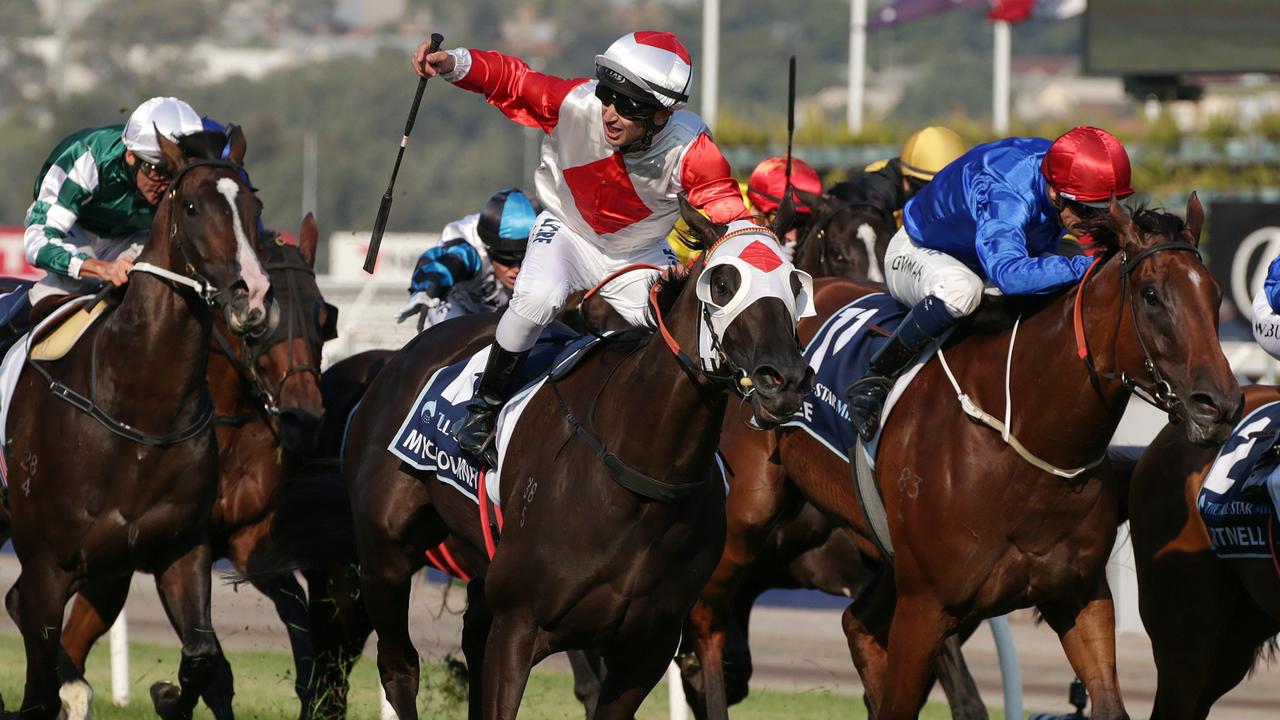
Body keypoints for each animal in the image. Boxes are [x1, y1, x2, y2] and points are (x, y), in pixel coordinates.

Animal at [0, 130, 270, 717]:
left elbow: (202, 655)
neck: (138, 409)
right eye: (191, 207)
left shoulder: (178, 550)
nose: (254, 297)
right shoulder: (47, 568)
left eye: (254, 208)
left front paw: (168, 694)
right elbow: (35, 690)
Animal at [55, 212, 337, 717]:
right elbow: (213, 670)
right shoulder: (175, 546)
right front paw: (169, 696)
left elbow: (301, 638)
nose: (303, 419)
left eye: (323, 319)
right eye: (261, 321)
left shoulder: (247, 543)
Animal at [340, 197, 814, 717]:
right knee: (398, 666)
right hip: (384, 553)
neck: (642, 473)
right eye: (724, 284)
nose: (785, 379)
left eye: (795, 283)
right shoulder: (518, 624)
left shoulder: (645, 650)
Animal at [696, 194, 1244, 717]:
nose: (1220, 404)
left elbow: (1108, 704)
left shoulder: (1080, 595)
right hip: (745, 515)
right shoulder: (925, 606)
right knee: (707, 620)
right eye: (1151, 295)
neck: (1023, 437)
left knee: (856, 626)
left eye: (1215, 294)